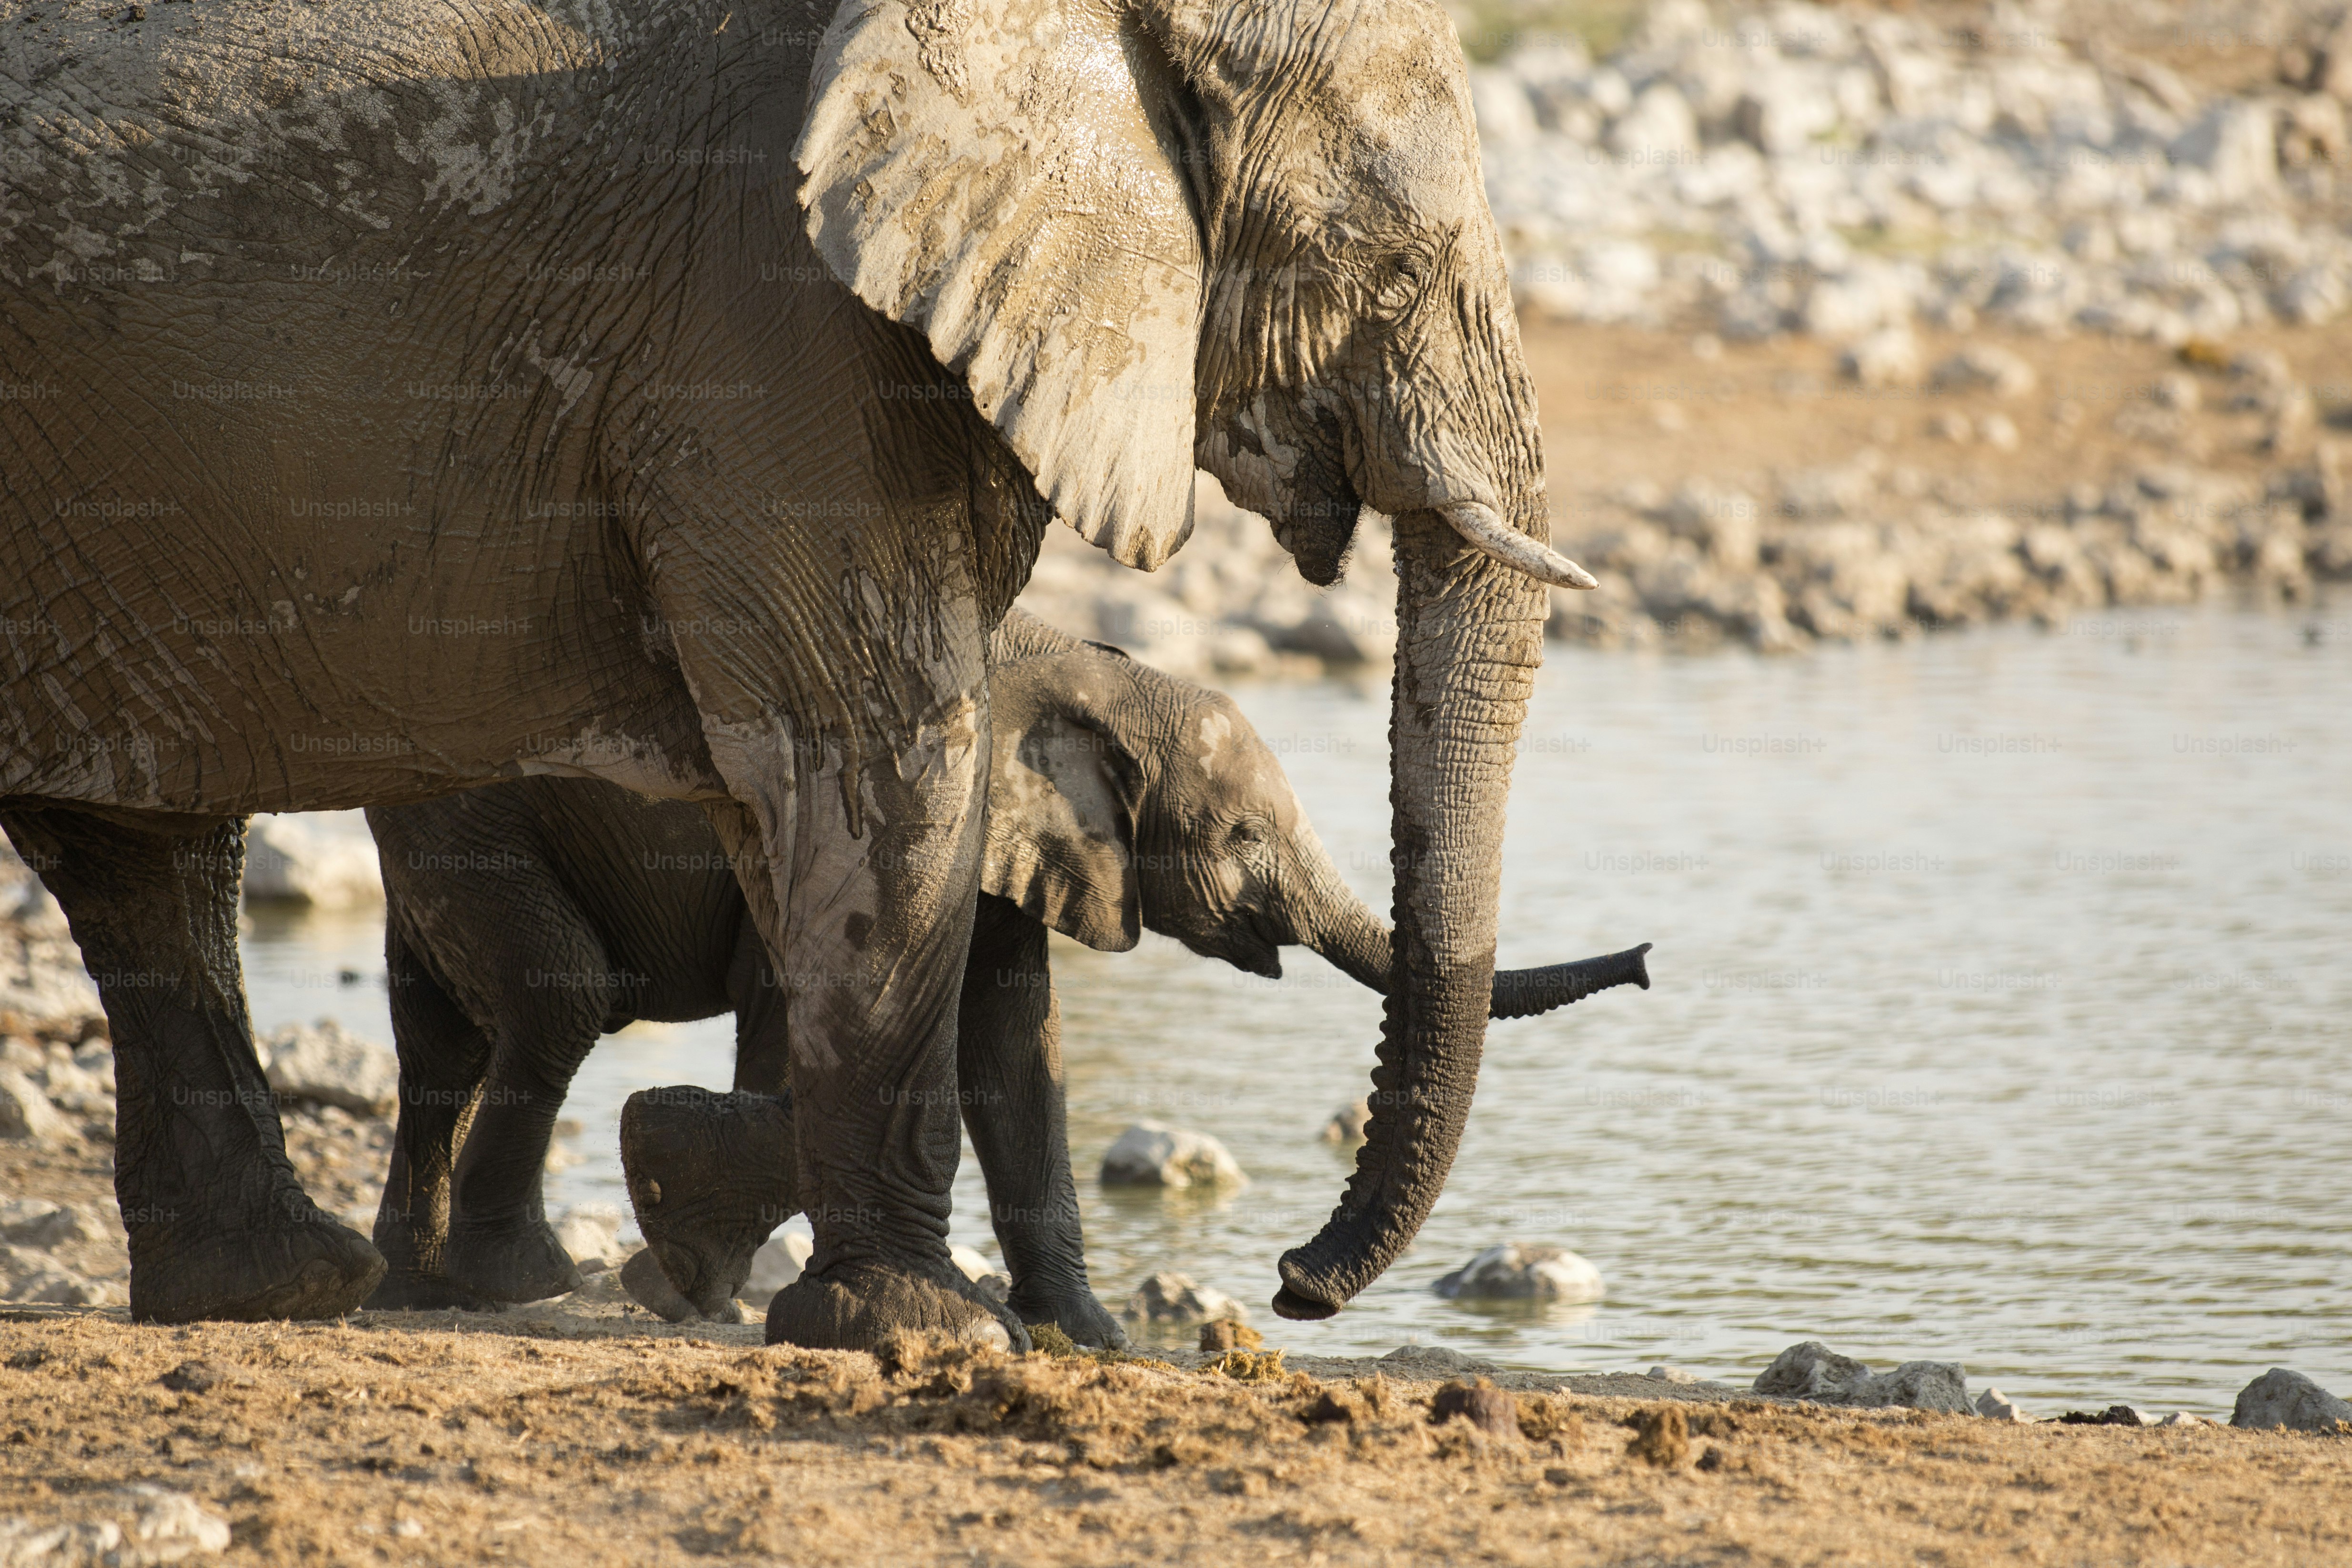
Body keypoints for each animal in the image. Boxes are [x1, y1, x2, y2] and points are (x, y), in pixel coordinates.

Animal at [361, 609, 1651, 1342]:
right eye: (1241, 840)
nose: (1290, 1284)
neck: (1092, 677)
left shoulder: (1018, 852)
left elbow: (1015, 1045)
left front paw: (1091, 1340)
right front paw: (679, 1258)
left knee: (443, 1043)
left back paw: (413, 1287)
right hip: (472, 816)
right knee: (558, 999)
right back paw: (519, 1277)